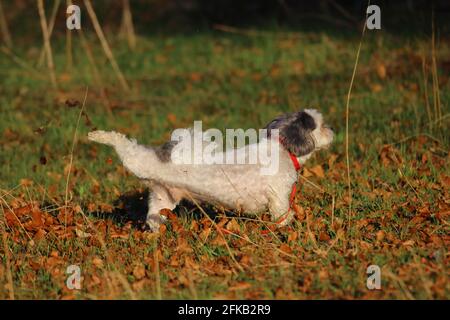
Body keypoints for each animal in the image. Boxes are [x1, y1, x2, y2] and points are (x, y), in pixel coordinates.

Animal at [88, 109, 334, 231]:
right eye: (321, 125)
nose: (332, 129)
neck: (282, 148)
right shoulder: (279, 199)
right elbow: (283, 217)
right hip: (139, 160)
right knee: (125, 146)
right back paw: (100, 135)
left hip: (162, 199)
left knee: (153, 218)